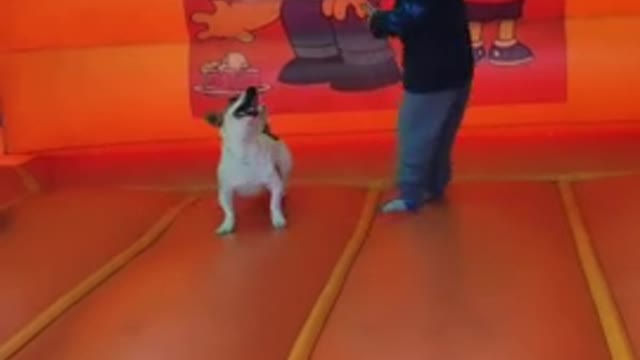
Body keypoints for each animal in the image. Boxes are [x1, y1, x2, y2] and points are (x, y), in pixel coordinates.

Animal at [205, 86, 292, 235]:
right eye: (232, 99)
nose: (252, 88)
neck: (246, 147)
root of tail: (266, 131)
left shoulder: (274, 184)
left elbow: (274, 205)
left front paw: (278, 218)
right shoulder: (225, 192)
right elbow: (229, 212)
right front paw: (227, 225)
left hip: (285, 165)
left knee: (283, 180)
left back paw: (283, 192)